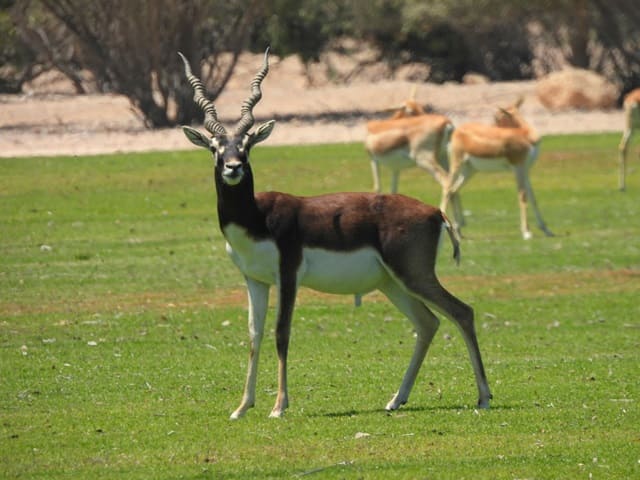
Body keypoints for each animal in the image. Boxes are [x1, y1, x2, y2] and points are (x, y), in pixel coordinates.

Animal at [178, 48, 492, 419]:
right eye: (215, 147)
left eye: (247, 144)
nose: (233, 167)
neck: (257, 217)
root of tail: (435, 212)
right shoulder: (254, 279)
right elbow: (255, 334)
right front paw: (242, 407)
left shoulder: (288, 275)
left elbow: (281, 332)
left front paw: (279, 406)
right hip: (391, 283)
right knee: (428, 323)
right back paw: (396, 399)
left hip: (413, 274)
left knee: (462, 312)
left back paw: (484, 397)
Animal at [440, 97, 554, 240]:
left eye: (496, 117)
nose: (491, 127)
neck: (527, 136)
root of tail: (457, 131)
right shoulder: (518, 168)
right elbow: (522, 196)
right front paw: (527, 232)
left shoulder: (525, 170)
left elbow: (533, 198)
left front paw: (547, 230)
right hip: (457, 164)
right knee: (447, 188)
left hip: (469, 170)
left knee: (453, 190)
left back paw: (458, 230)